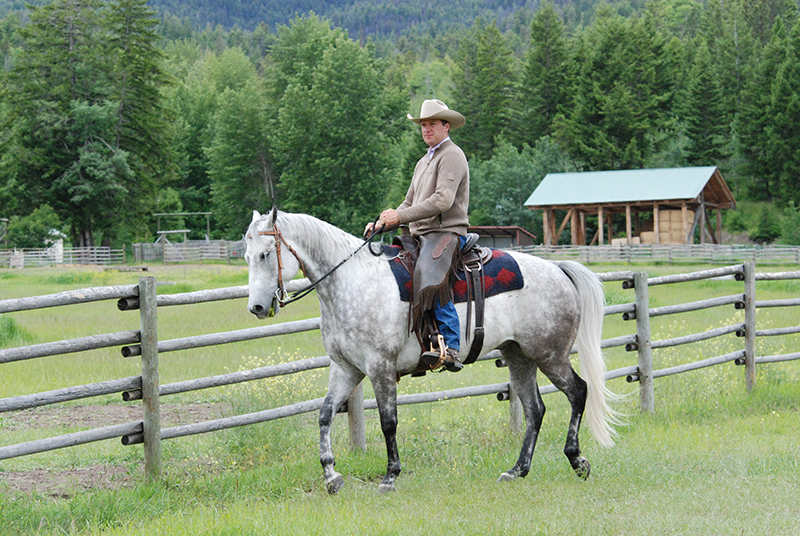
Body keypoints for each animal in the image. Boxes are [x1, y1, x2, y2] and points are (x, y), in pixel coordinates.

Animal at [245, 208, 619, 494]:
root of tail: (558, 270)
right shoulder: (346, 368)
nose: (257, 308)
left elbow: (388, 422)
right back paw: (516, 470)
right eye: (247, 256)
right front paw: (331, 476)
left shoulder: (380, 368)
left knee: (578, 392)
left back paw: (577, 460)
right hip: (518, 356)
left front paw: (390, 476)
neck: (353, 282)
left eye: (266, 254)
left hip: (550, 355)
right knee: (535, 409)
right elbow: (324, 415)